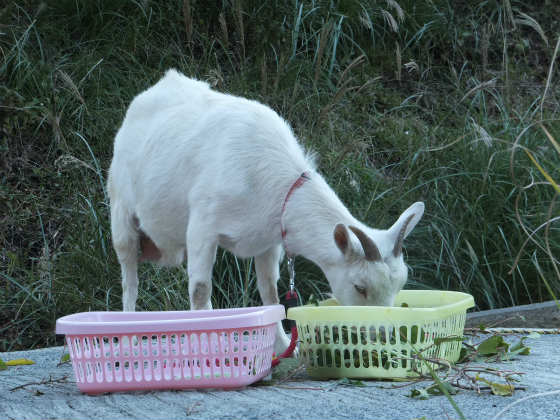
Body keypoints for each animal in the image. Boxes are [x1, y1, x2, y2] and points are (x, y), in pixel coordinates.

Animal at [108, 69, 424, 352]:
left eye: (400, 285)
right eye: (360, 287)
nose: (383, 335)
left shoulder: (269, 243)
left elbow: (271, 294)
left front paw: (283, 346)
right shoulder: (202, 226)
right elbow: (200, 291)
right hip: (120, 209)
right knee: (129, 277)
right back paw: (128, 338)